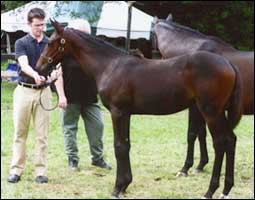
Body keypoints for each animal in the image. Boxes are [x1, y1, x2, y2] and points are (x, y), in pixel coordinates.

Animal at [36, 20, 243, 198]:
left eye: (51, 42)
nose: (39, 67)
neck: (110, 65)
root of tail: (229, 64)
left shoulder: (117, 112)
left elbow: (119, 146)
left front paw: (117, 187)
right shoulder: (126, 114)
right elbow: (126, 145)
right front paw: (125, 184)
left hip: (211, 111)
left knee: (220, 143)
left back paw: (210, 190)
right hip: (217, 112)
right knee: (231, 140)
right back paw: (226, 189)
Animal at [152, 14, 254, 177]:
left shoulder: (195, 108)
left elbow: (192, 133)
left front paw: (185, 168)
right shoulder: (201, 110)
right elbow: (201, 133)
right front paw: (201, 164)